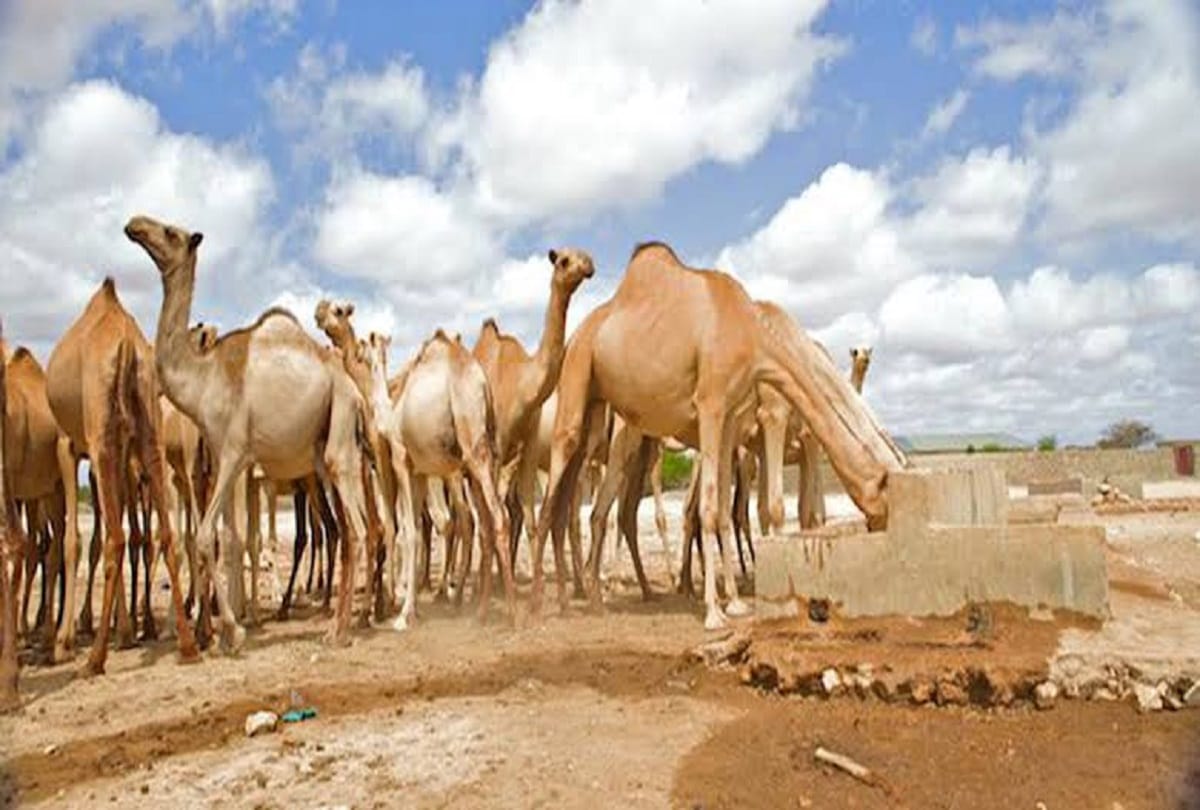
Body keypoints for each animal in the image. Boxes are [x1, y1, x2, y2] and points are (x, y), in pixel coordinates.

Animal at [45, 277, 196, 672]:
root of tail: (127, 344)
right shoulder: (124, 454)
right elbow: (130, 533)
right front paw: (126, 629)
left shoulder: (69, 444)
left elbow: (76, 540)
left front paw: (65, 641)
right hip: (147, 435)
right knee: (162, 534)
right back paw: (187, 644)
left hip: (102, 438)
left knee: (114, 538)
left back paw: (94, 659)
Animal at [124, 214, 372, 650]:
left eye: (170, 231)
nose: (135, 224)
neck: (203, 378)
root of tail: (355, 393)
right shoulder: (228, 462)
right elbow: (225, 537)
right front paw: (225, 631)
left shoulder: (234, 452)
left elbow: (208, 537)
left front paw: (234, 631)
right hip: (324, 454)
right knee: (344, 530)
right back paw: (336, 625)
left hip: (340, 432)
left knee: (355, 529)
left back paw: (339, 632)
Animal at [532, 243, 906, 629]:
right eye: (886, 490)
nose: (881, 526)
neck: (755, 333)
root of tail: (580, 333)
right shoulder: (731, 408)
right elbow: (742, 508)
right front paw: (716, 611)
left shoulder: (731, 419)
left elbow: (733, 512)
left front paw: (737, 602)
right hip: (579, 375)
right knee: (562, 483)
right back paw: (543, 605)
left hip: (605, 415)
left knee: (593, 506)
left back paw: (595, 598)